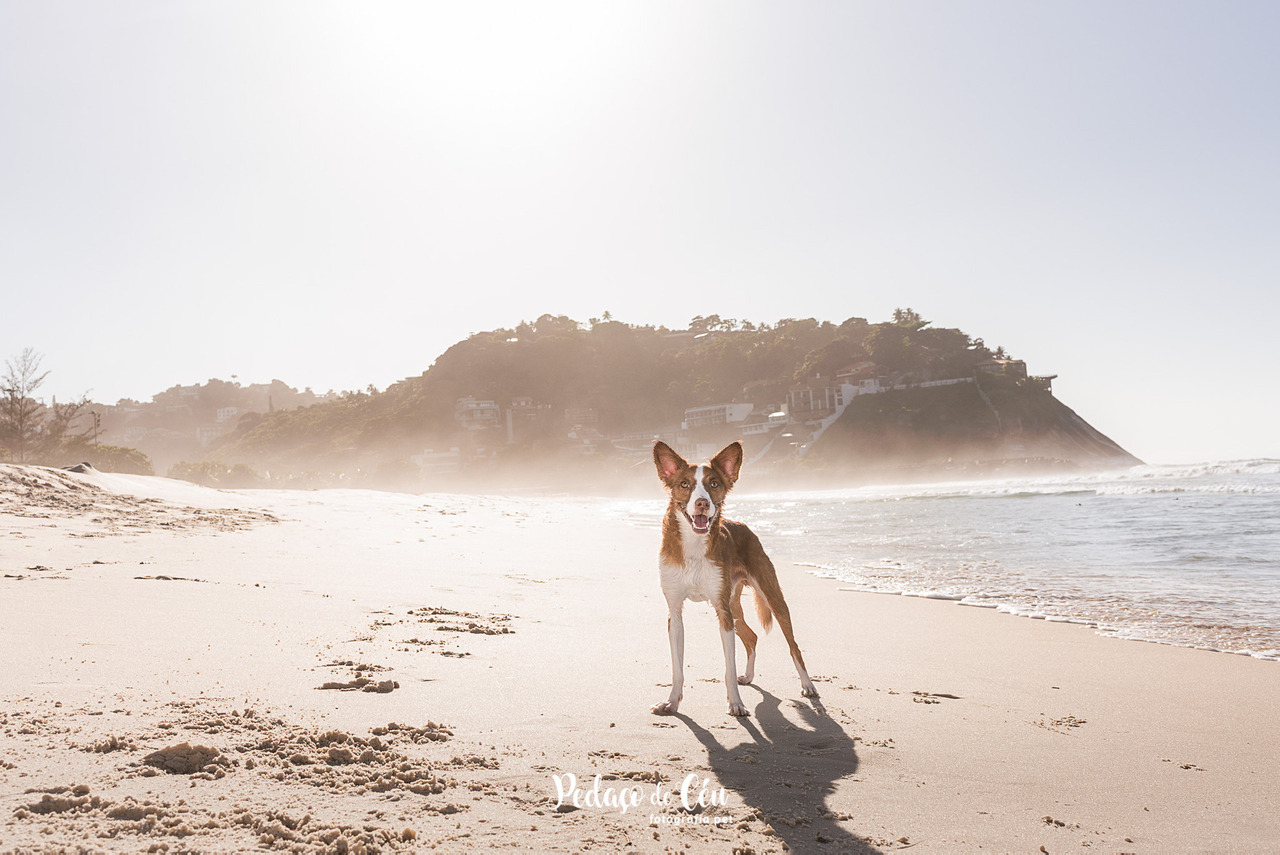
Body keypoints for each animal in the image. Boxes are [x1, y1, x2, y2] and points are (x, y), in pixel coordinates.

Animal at [650, 440, 819, 716]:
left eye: (713, 483)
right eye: (684, 484)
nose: (702, 503)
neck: (694, 546)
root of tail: (743, 525)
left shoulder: (722, 611)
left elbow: (729, 667)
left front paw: (736, 703)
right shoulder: (674, 612)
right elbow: (677, 668)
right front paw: (671, 702)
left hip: (769, 597)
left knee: (793, 645)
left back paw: (808, 685)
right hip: (735, 607)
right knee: (752, 637)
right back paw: (748, 676)